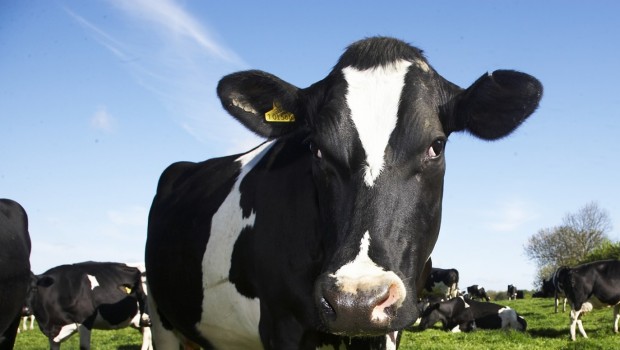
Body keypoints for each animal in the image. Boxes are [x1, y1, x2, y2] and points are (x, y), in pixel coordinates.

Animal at [145, 36, 544, 350]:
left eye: (437, 145)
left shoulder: (389, 328)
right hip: (160, 316)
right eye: (316, 148)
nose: (357, 301)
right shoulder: (281, 324)